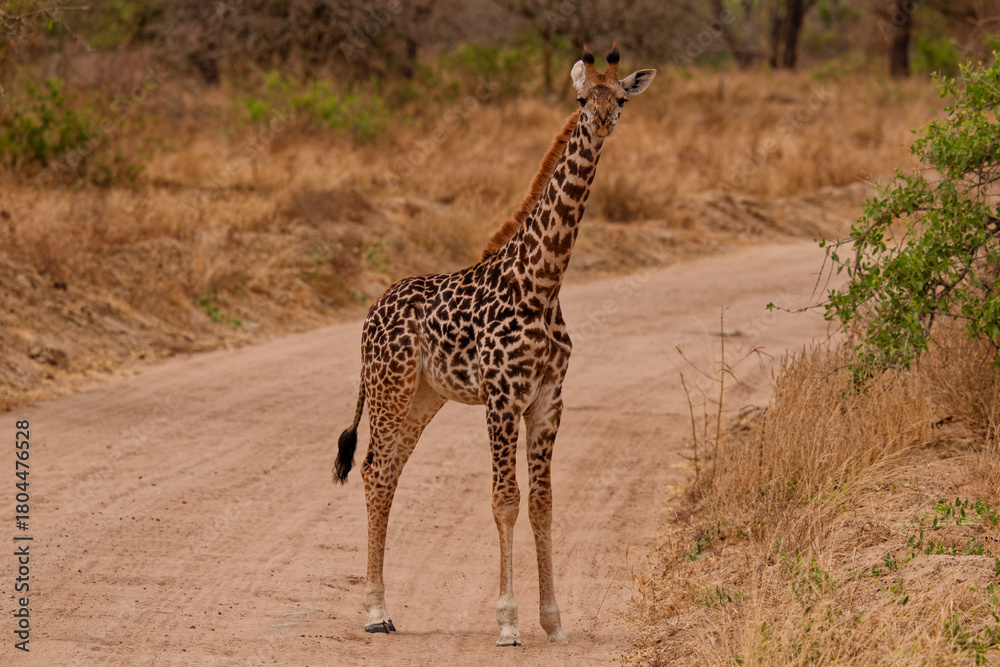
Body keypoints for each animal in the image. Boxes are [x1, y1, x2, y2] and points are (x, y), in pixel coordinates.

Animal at [333, 44, 655, 647]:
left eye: (620, 99)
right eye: (583, 98)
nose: (603, 122)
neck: (542, 283)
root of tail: (370, 313)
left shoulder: (548, 400)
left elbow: (544, 505)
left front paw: (553, 621)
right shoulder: (503, 397)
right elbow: (505, 502)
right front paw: (507, 622)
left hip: (424, 398)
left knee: (388, 472)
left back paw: (383, 608)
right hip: (390, 389)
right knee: (374, 469)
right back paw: (376, 612)